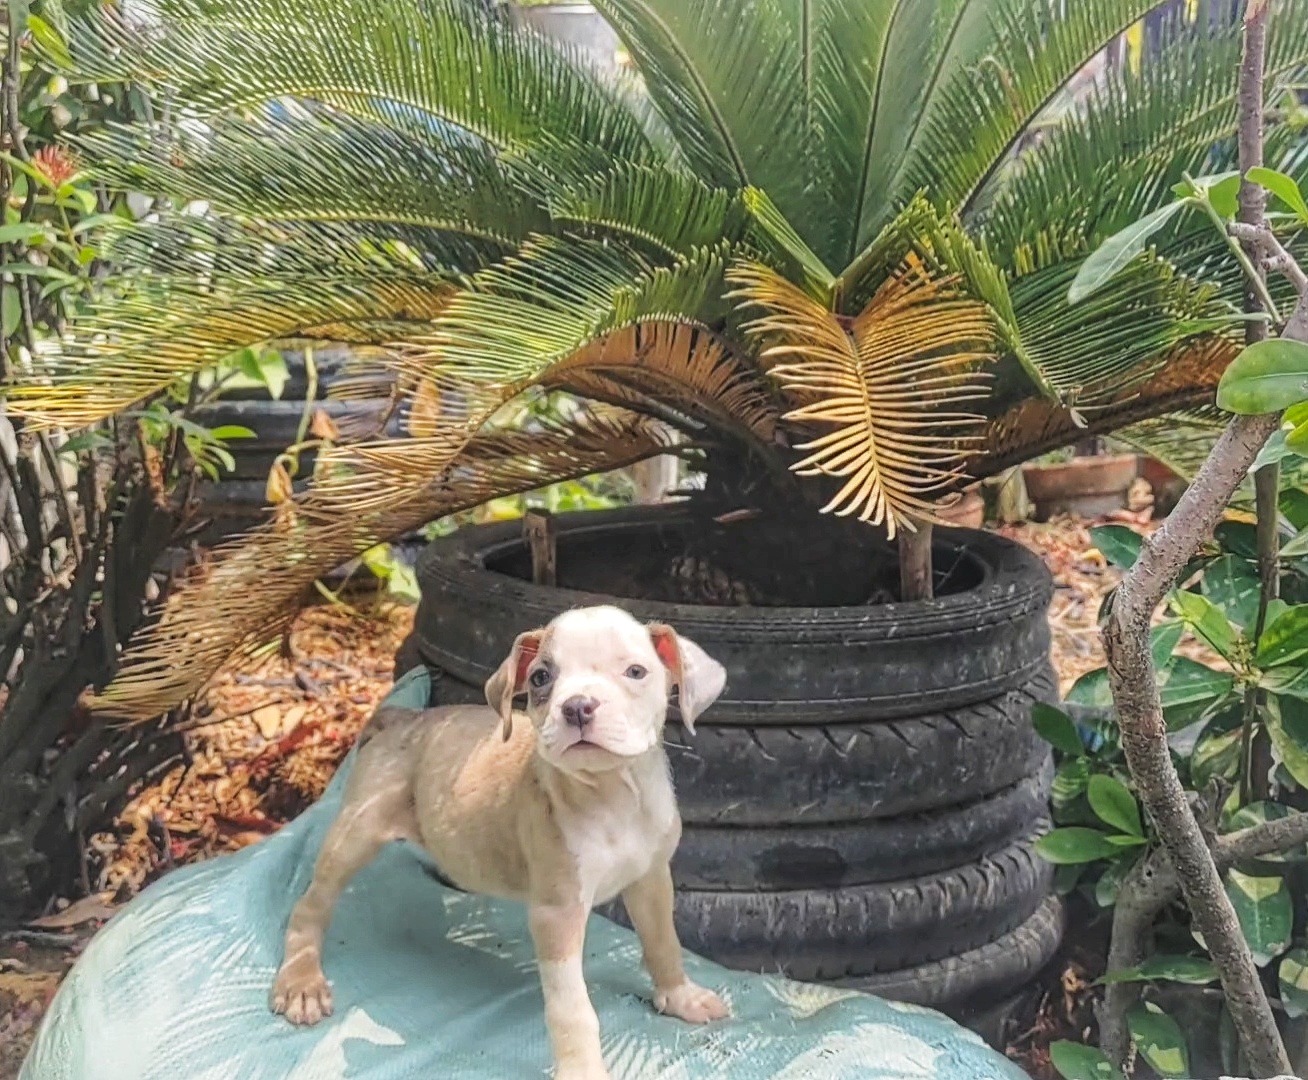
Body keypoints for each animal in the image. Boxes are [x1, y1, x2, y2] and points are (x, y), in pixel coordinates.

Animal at [270, 601, 732, 1072]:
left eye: (636, 672)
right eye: (541, 678)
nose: (578, 707)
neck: (613, 793)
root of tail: (404, 717)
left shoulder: (651, 879)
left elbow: (664, 942)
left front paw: (681, 997)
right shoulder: (557, 915)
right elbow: (572, 1010)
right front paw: (583, 1070)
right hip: (357, 830)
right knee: (311, 904)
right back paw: (302, 982)